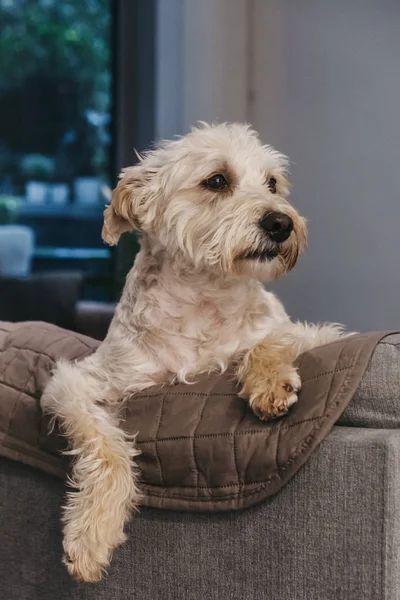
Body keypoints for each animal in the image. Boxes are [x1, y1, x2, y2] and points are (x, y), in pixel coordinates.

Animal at [41, 120, 346, 580]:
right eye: (217, 181)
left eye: (273, 183)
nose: (281, 223)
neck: (206, 298)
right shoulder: (76, 382)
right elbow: (105, 446)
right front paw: (91, 533)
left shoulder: (316, 333)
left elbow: (271, 339)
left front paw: (269, 382)